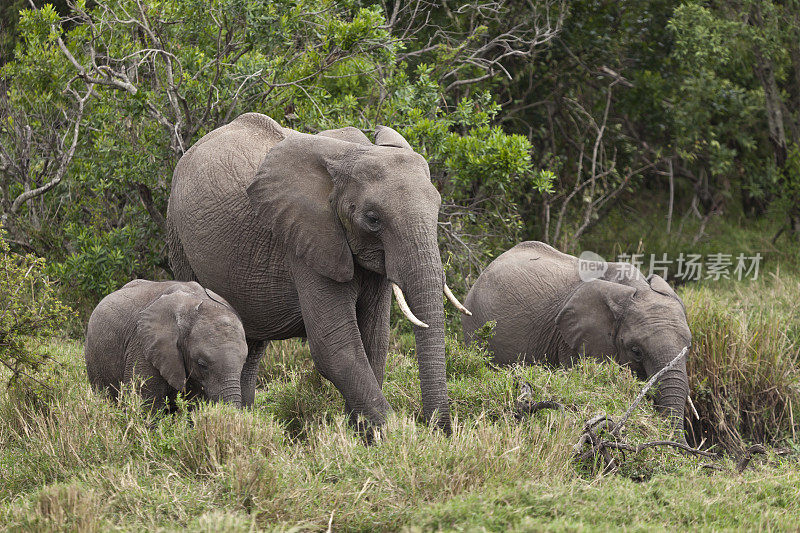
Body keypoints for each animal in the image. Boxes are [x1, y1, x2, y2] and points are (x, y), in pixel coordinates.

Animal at [169, 112, 468, 432]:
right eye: (373, 219)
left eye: (437, 208)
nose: (440, 431)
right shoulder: (306, 242)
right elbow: (336, 348)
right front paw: (394, 437)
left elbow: (375, 341)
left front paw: (362, 435)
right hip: (179, 238)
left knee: (252, 343)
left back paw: (241, 419)